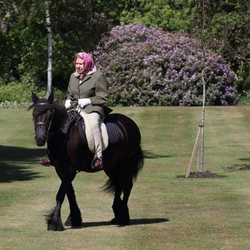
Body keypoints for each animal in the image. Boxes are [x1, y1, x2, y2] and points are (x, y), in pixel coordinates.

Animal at [29, 93, 143, 231]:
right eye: (34, 113)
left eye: (50, 113)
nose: (40, 139)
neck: (64, 134)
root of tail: (130, 123)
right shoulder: (60, 169)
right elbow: (69, 192)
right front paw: (74, 219)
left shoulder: (71, 169)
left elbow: (61, 194)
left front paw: (54, 222)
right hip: (111, 166)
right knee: (118, 184)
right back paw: (117, 215)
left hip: (126, 164)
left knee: (127, 186)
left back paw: (123, 217)